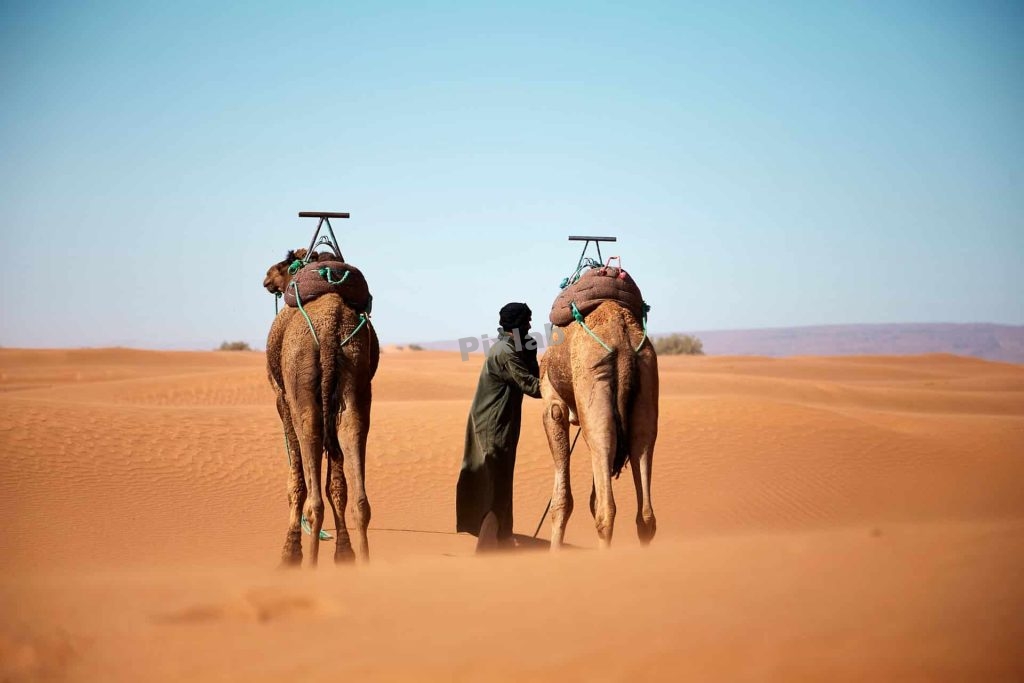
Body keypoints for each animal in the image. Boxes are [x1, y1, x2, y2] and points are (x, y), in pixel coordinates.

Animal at [263, 249, 380, 566]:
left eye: (285, 262)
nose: (267, 277)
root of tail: (330, 329)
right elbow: (337, 483)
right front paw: (345, 553)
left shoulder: (282, 399)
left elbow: (296, 479)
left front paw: (289, 554)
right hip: (356, 377)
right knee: (353, 435)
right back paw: (364, 559)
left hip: (301, 383)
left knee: (310, 441)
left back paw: (309, 562)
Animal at [539, 300, 658, 549]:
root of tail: (622, 340)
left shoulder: (553, 404)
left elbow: (561, 502)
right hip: (646, 380)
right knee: (645, 514)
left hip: (593, 383)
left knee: (606, 511)